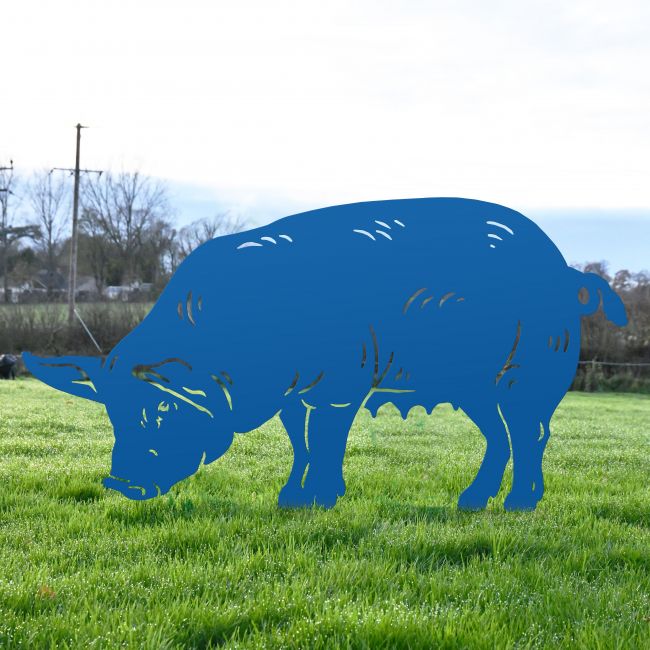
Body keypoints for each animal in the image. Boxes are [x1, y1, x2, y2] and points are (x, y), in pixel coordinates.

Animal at [24, 198, 627, 510]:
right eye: (113, 413)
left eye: (166, 407)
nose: (116, 482)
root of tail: (564, 270)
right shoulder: (293, 393)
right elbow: (300, 441)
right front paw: (290, 500)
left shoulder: (343, 381)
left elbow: (329, 438)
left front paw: (320, 501)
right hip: (474, 388)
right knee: (501, 437)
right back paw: (470, 504)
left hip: (529, 372)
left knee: (532, 434)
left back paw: (520, 505)